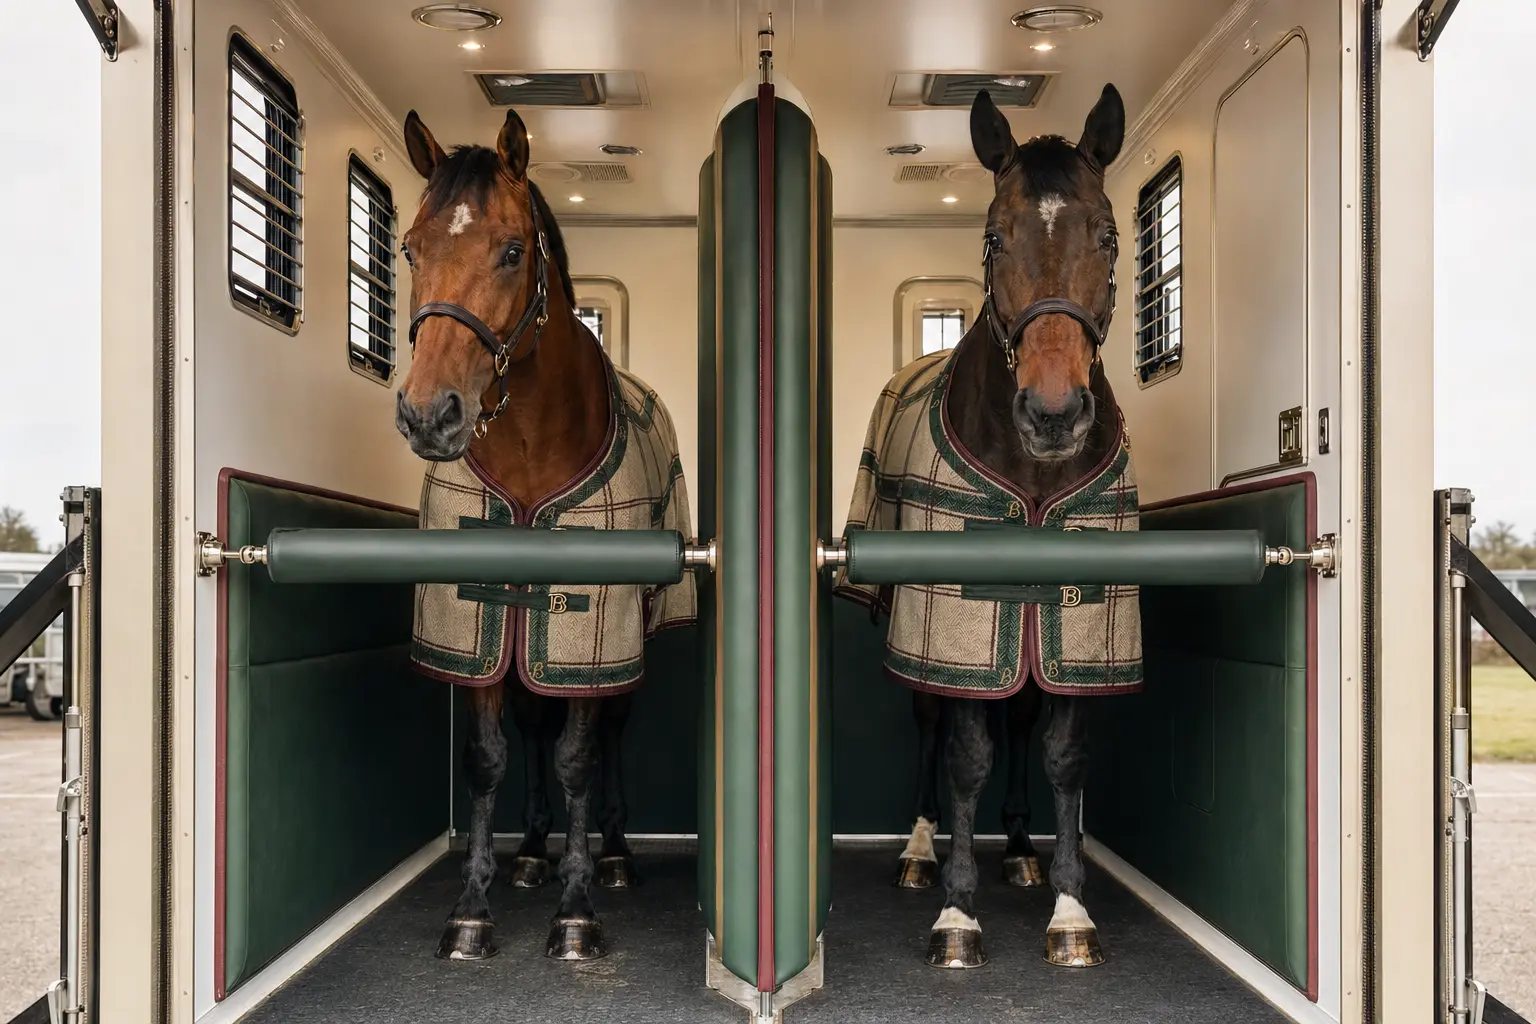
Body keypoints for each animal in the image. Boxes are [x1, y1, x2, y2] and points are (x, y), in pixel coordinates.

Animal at [394, 106, 694, 962]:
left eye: (511, 250)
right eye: (410, 248)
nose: (429, 413)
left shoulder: (591, 633)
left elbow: (580, 758)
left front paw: (577, 909)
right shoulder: (483, 623)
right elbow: (492, 757)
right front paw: (473, 906)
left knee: (610, 734)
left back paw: (614, 856)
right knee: (531, 731)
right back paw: (529, 853)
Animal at [837, 84, 1135, 969]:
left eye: (1107, 233)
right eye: (995, 236)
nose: (1054, 412)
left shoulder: (1074, 626)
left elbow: (1062, 755)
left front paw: (1069, 909)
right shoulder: (962, 622)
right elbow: (967, 755)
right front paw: (956, 913)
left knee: (1021, 717)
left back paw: (1022, 852)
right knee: (933, 727)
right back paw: (919, 851)